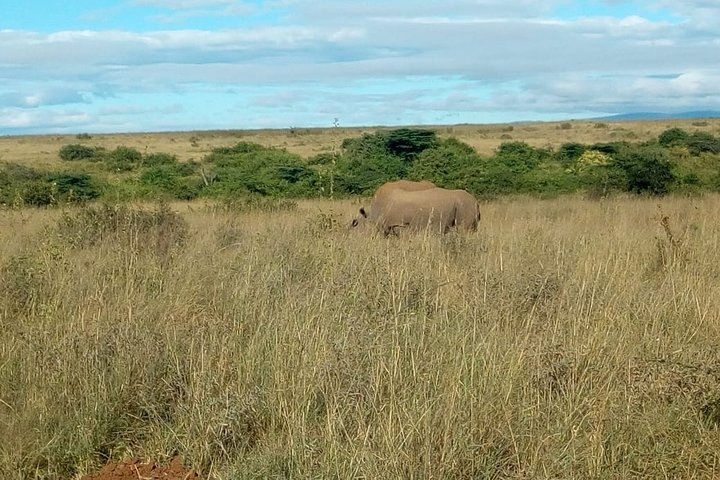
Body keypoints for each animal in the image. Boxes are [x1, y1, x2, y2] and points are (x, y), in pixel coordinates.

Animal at [352, 185, 481, 235]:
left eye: (355, 224)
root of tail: (476, 201)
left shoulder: (400, 224)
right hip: (463, 205)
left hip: (465, 206)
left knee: (463, 230)